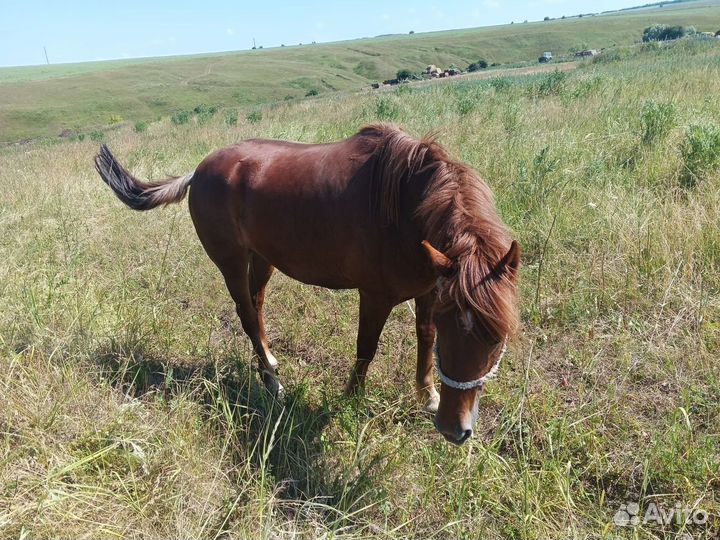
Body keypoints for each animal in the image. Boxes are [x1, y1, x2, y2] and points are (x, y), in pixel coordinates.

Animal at [95, 123, 520, 445]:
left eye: (497, 338)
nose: (454, 430)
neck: (404, 206)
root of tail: (198, 172)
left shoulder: (433, 289)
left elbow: (424, 338)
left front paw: (427, 394)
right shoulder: (376, 296)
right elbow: (366, 349)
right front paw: (351, 400)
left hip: (262, 258)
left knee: (257, 305)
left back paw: (268, 361)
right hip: (230, 261)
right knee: (246, 313)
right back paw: (272, 383)